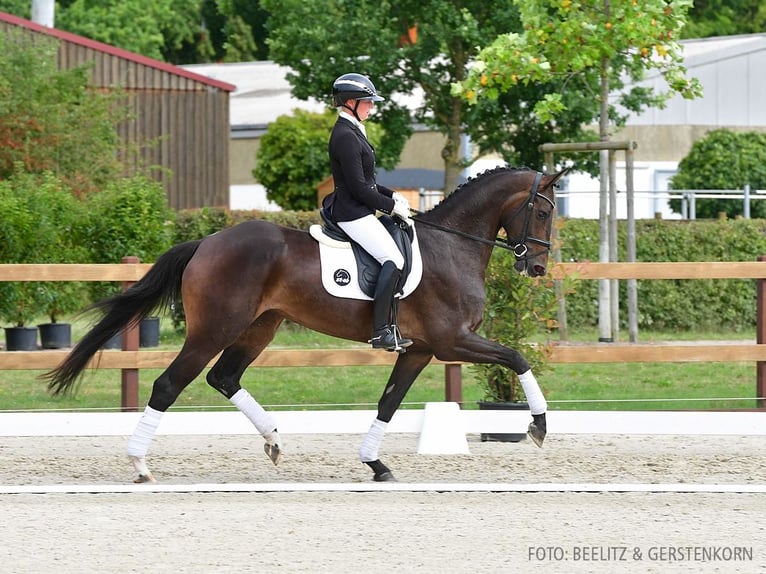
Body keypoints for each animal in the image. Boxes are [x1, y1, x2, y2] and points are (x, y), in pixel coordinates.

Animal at [43, 166, 568, 486]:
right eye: (544, 210)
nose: (537, 267)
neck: (452, 246)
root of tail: (207, 242)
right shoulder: (452, 340)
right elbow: (518, 356)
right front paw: (539, 425)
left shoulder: (420, 348)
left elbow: (389, 402)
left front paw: (376, 464)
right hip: (215, 329)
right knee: (170, 384)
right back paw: (140, 465)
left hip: (260, 326)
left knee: (224, 377)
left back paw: (274, 440)